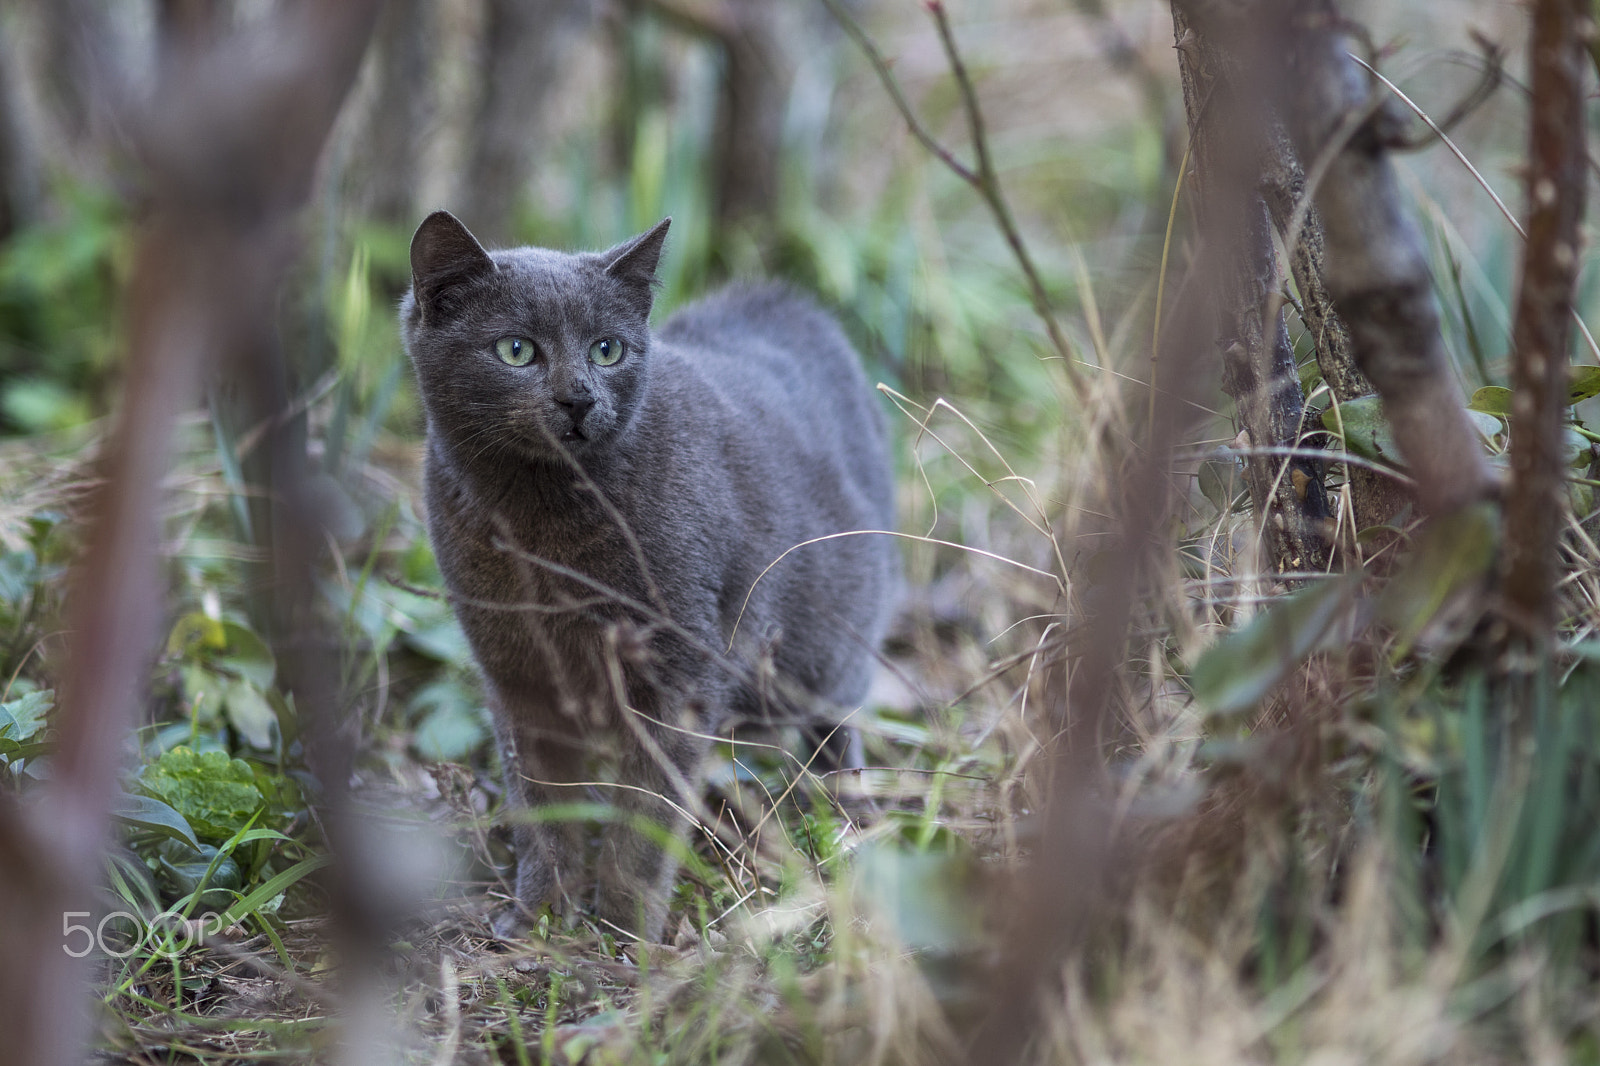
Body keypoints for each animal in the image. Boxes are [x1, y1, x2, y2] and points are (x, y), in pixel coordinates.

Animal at [400, 209, 902, 941]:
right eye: (516, 350)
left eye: (607, 350)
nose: (578, 398)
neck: (536, 525)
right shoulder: (516, 670)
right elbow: (540, 805)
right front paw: (539, 919)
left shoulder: (680, 670)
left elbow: (647, 817)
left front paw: (624, 930)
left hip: (825, 647)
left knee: (835, 726)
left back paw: (848, 821)